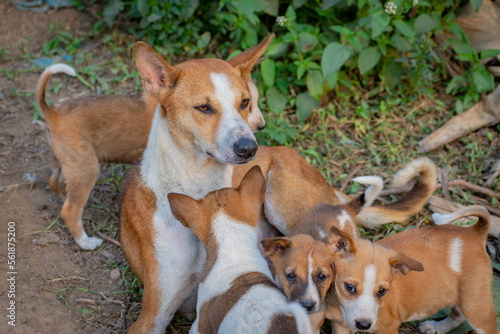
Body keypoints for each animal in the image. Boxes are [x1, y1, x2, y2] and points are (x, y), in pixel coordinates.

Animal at [34, 42, 270, 250]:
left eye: (245, 102)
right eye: (203, 107)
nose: (250, 147)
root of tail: (53, 114)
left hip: (66, 164)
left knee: (55, 183)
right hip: (87, 170)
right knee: (70, 211)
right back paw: (85, 242)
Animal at [324, 205, 496, 332]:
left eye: (382, 291)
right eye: (349, 287)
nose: (364, 325)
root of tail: (474, 231)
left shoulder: (389, 327)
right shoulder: (339, 325)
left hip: (476, 306)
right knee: (458, 315)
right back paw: (436, 328)